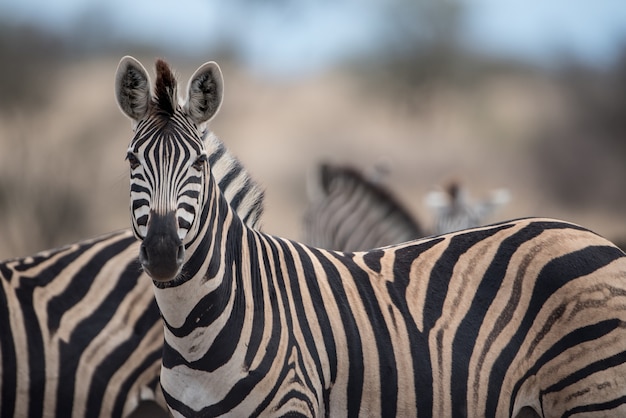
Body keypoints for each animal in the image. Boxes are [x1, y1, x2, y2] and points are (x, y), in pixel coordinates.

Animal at [114, 56, 624, 418]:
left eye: (199, 163)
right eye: (131, 161)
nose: (164, 253)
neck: (194, 328)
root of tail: (592, 235)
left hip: (597, 394)